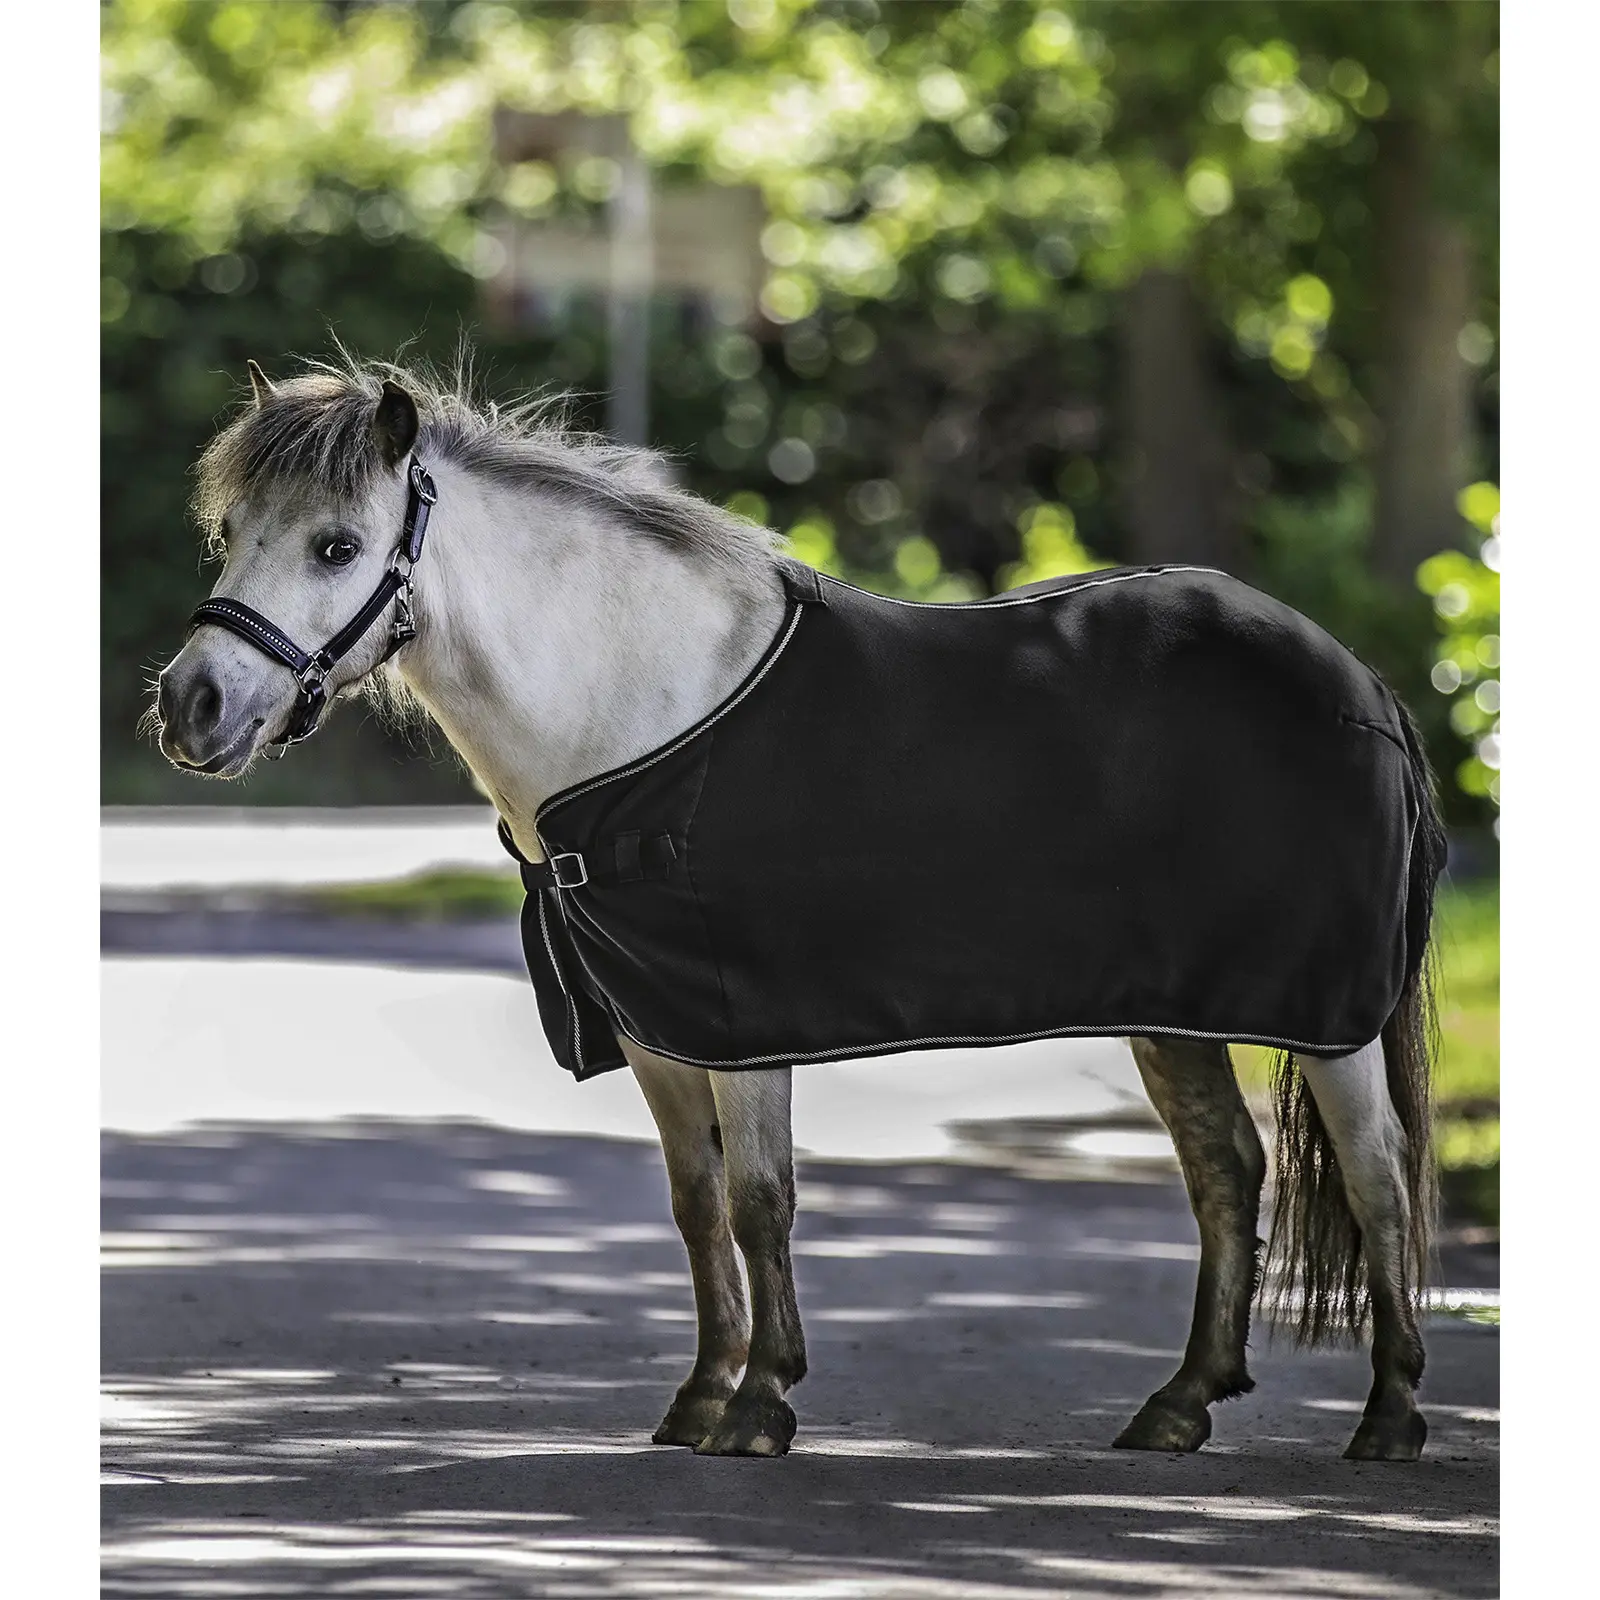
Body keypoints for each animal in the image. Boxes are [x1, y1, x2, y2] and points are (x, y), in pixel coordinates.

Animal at [152, 354, 1443, 1463]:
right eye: (231, 533)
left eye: (336, 544)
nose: (190, 706)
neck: (637, 707)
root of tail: (1361, 680)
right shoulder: (657, 1028)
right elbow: (696, 1204)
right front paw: (700, 1394)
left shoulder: (739, 1018)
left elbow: (761, 1200)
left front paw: (762, 1402)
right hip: (1175, 1012)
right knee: (1227, 1168)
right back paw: (1179, 1405)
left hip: (1327, 1014)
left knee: (1379, 1173)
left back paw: (1387, 1415)